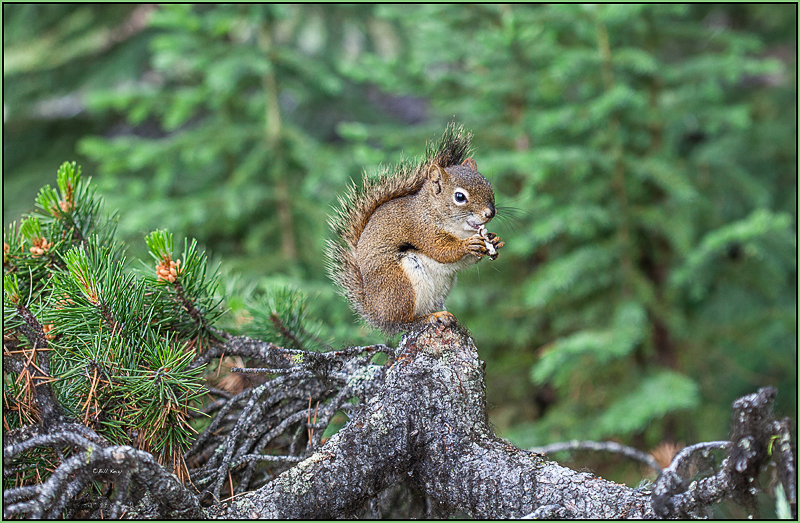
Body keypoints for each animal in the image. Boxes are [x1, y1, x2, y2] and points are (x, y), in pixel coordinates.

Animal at [326, 125, 504, 334]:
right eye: (460, 197)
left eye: (488, 186)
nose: (490, 213)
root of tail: (375, 313)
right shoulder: (421, 228)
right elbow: (440, 250)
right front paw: (467, 244)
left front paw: (494, 240)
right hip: (401, 285)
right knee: (402, 321)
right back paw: (429, 318)